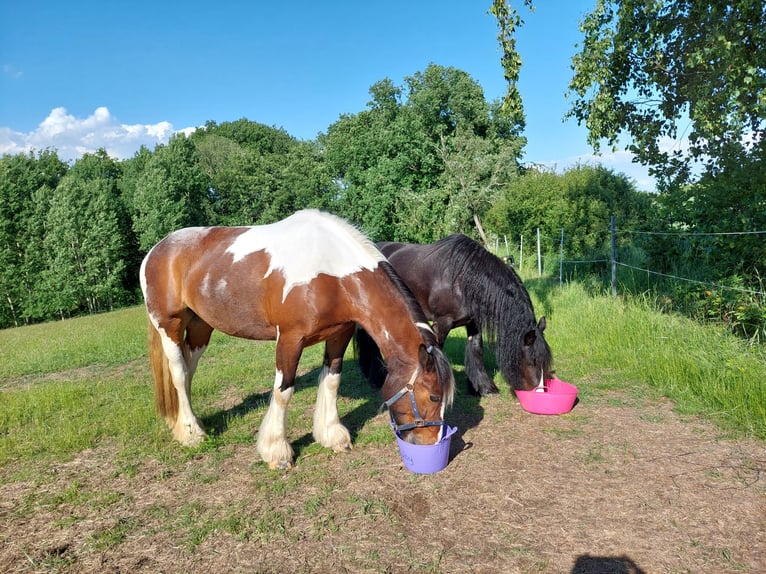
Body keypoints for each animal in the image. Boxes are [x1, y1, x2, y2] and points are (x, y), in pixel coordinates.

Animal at [140, 209, 454, 470]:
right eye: (433, 396)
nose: (431, 443)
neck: (331, 272)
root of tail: (156, 251)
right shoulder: (290, 339)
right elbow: (283, 391)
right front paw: (277, 452)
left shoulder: (339, 334)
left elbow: (332, 380)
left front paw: (332, 436)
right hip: (169, 324)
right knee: (179, 373)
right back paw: (192, 433)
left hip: (200, 327)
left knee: (188, 371)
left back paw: (190, 422)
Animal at [357, 234, 552, 396]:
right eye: (533, 360)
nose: (539, 390)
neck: (462, 279)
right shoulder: (442, 323)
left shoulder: (473, 323)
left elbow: (476, 350)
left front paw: (482, 387)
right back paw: (376, 378)